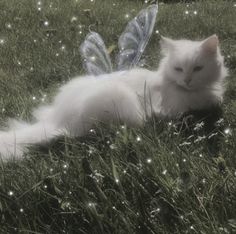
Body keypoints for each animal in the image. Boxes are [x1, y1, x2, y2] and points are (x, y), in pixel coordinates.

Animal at [0, 34, 229, 160]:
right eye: (179, 69)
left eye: (198, 68)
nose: (188, 80)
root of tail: (58, 118)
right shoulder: (178, 110)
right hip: (122, 104)